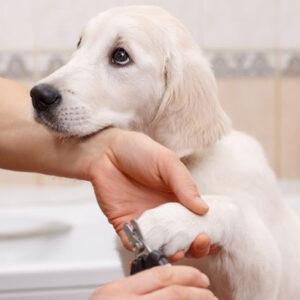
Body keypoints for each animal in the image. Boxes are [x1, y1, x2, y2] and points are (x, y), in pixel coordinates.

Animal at [30, 5, 300, 300]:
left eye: (120, 56)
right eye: (80, 44)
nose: (38, 95)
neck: (190, 163)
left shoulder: (263, 274)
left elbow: (232, 207)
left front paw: (169, 221)